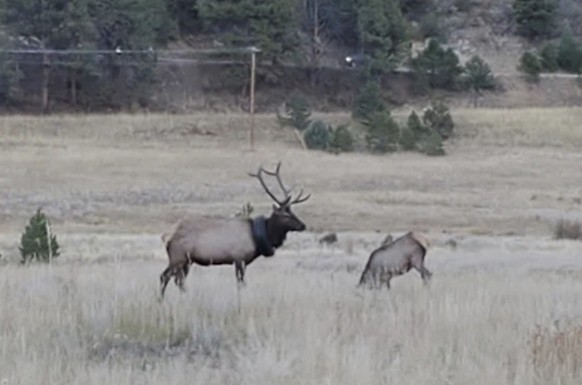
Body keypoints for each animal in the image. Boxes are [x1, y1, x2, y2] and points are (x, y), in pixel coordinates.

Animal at [157, 160, 312, 298]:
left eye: (293, 212)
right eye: (285, 216)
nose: (303, 225)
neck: (257, 238)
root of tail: (166, 236)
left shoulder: (242, 261)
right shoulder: (239, 257)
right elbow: (241, 283)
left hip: (186, 261)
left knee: (178, 281)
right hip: (178, 257)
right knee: (164, 276)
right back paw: (160, 300)